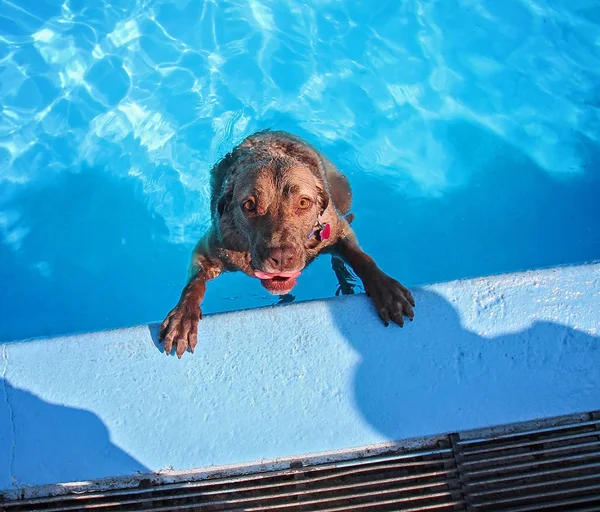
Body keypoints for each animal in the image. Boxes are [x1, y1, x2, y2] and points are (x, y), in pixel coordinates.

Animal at [159, 130, 414, 358]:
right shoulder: (211, 249)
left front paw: (385, 289)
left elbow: (361, 257)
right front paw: (183, 316)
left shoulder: (337, 229)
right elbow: (195, 283)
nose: (281, 257)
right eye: (249, 205)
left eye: (303, 203)